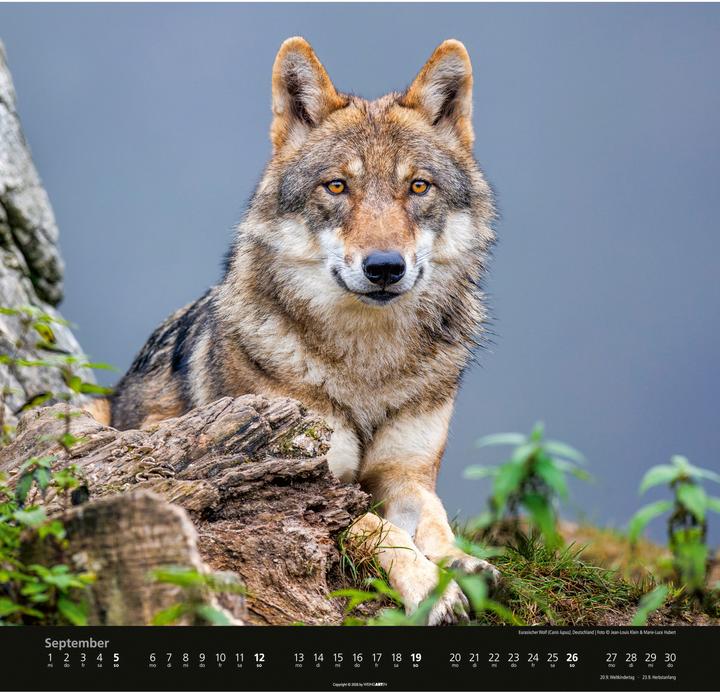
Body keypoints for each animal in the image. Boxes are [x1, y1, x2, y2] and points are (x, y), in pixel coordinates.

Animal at [109, 37, 498, 624]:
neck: (368, 367)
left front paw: (463, 562)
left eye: (418, 187)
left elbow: (434, 519)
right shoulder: (315, 485)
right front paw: (432, 587)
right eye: (337, 186)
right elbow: (381, 531)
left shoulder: (405, 474)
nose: (385, 267)